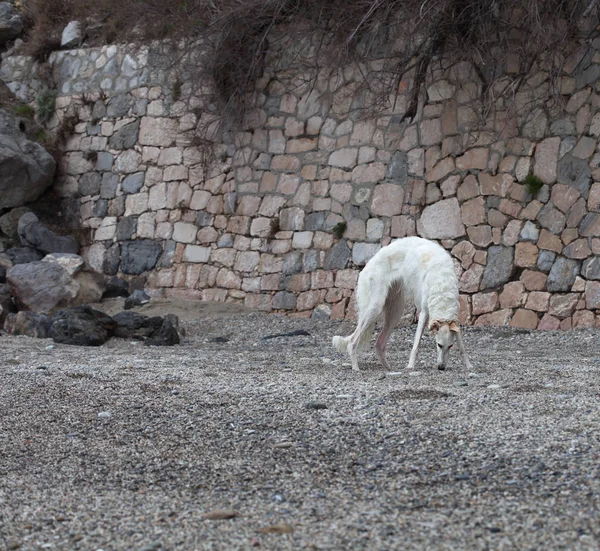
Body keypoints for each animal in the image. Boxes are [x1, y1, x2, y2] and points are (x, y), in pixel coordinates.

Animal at [332, 236, 474, 370]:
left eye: (450, 346)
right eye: (439, 345)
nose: (441, 367)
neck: (442, 283)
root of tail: (369, 263)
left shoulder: (454, 320)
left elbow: (462, 348)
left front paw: (469, 365)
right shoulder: (424, 313)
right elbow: (416, 346)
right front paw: (410, 366)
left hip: (395, 314)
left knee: (379, 344)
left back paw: (388, 368)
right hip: (375, 308)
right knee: (352, 342)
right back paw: (355, 367)